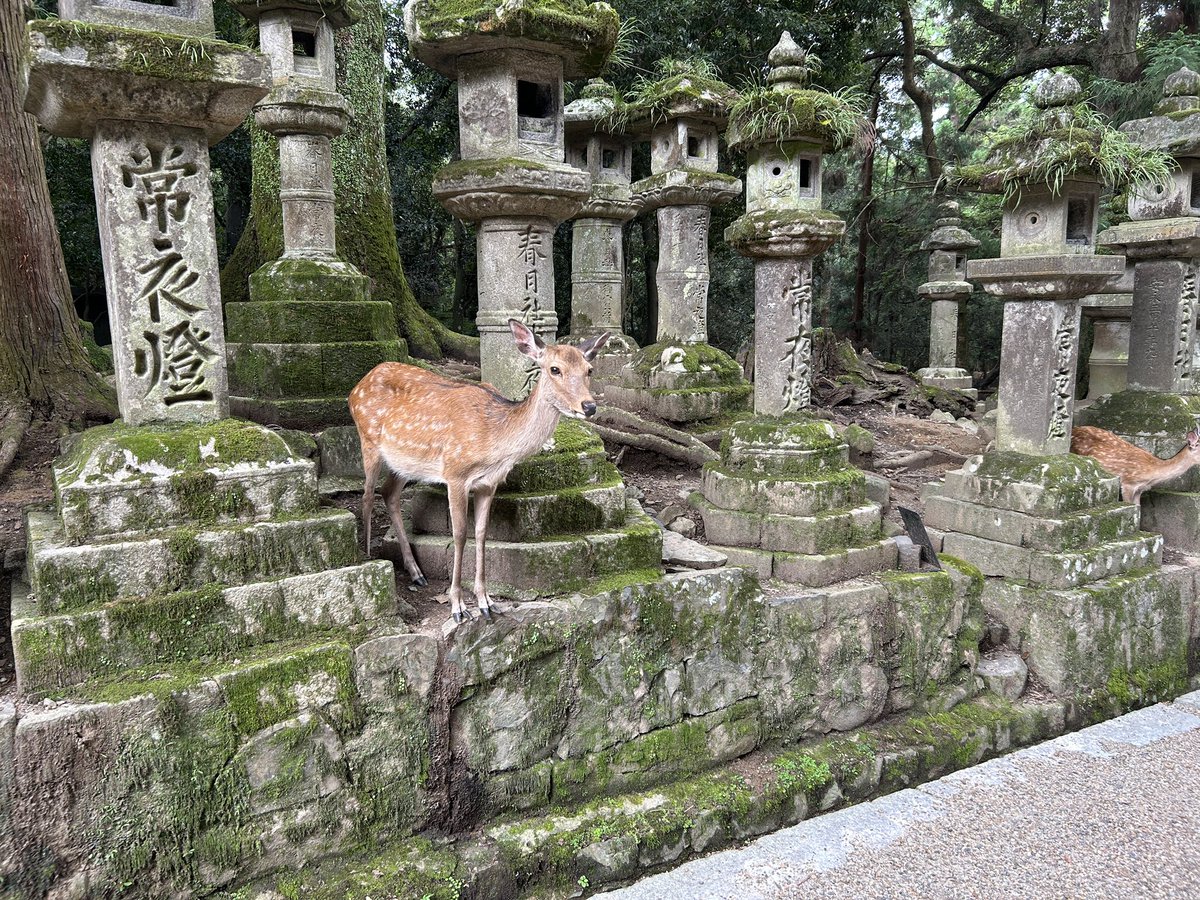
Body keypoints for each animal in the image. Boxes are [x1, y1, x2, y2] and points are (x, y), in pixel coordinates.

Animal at [350, 319, 609, 625]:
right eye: (554, 369)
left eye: (589, 369)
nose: (589, 406)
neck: (494, 444)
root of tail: (358, 384)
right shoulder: (455, 473)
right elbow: (460, 534)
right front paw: (457, 607)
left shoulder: (488, 483)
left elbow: (482, 533)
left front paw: (486, 602)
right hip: (368, 440)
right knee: (367, 495)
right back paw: (369, 556)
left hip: (404, 461)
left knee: (388, 492)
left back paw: (416, 572)